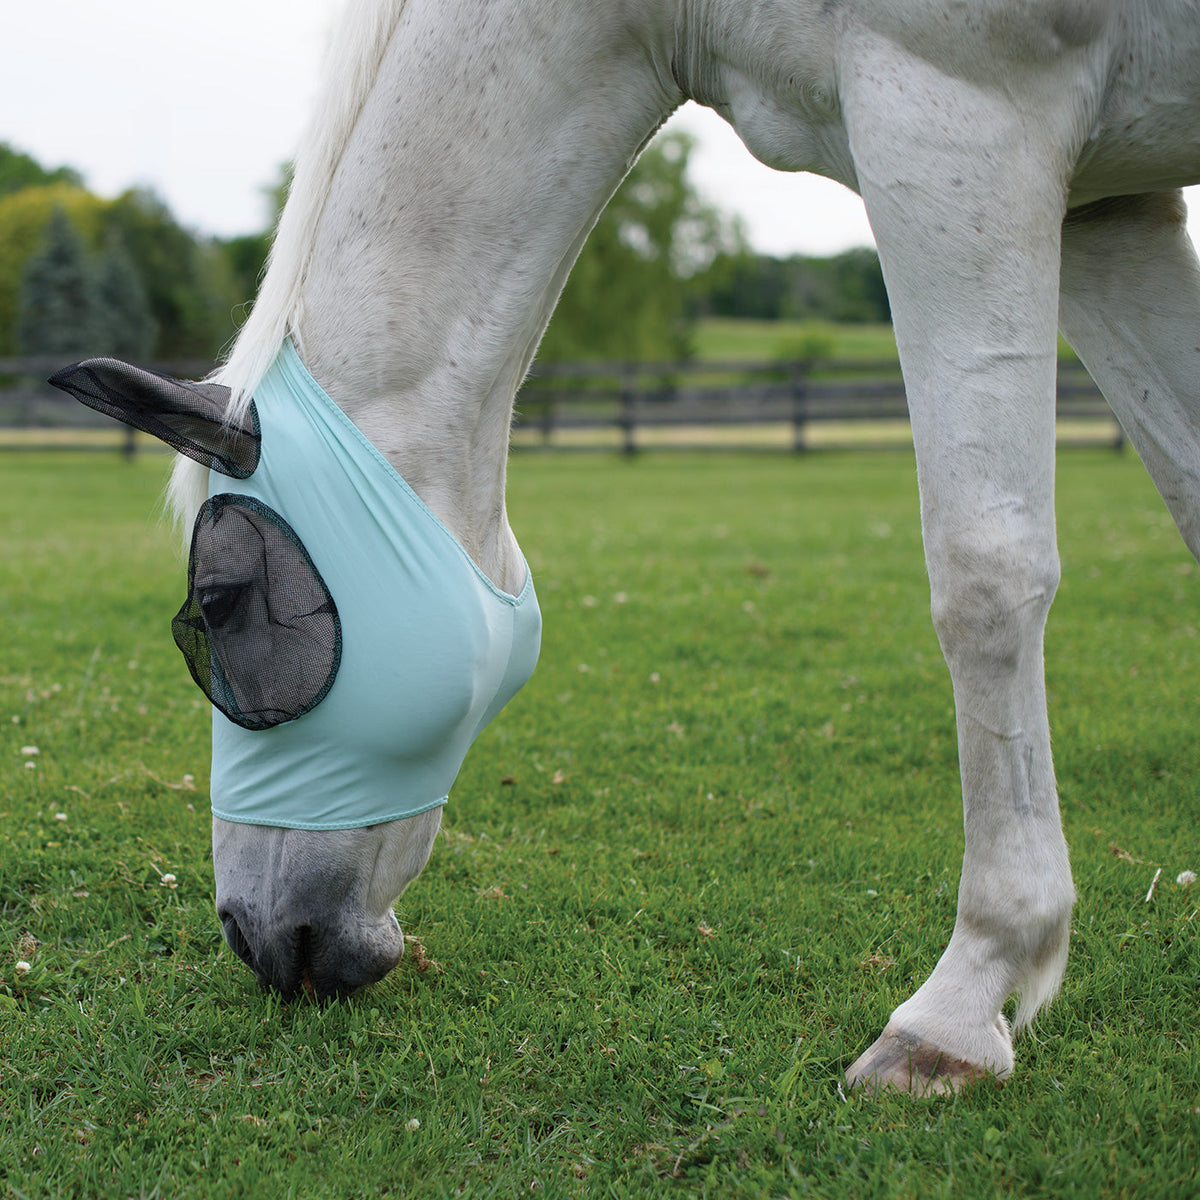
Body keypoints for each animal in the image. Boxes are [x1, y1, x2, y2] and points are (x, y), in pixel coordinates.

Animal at [70, 0, 1200, 1095]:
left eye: (218, 606)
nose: (248, 934)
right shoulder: (1102, 204)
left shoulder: (959, 120)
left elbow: (985, 571)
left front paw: (962, 1003)